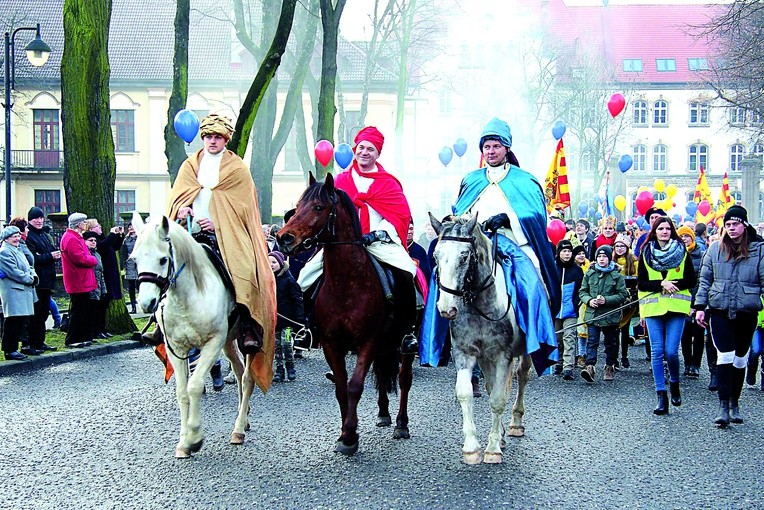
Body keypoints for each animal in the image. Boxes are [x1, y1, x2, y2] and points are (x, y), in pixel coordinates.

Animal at [132, 211, 256, 458]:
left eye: (163, 259)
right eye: (135, 260)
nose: (146, 303)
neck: (188, 297)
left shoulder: (212, 343)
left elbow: (195, 386)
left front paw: (195, 437)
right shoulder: (176, 348)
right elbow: (182, 392)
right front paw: (183, 442)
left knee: (247, 378)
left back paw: (238, 429)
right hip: (229, 341)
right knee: (238, 373)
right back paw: (243, 417)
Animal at [278, 172, 414, 454]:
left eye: (319, 207)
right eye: (298, 205)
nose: (284, 238)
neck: (347, 284)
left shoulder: (367, 342)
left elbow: (354, 386)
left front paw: (351, 435)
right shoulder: (332, 344)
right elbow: (341, 388)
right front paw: (344, 434)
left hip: (404, 342)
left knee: (404, 379)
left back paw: (401, 424)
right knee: (382, 375)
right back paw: (383, 414)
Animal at [430, 213, 532, 464]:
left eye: (464, 256)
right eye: (436, 255)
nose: (446, 308)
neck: (481, 306)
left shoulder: (503, 356)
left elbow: (497, 399)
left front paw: (493, 448)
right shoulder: (464, 353)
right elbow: (466, 393)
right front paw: (472, 447)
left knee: (522, 376)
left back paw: (515, 423)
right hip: (485, 358)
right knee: (491, 385)